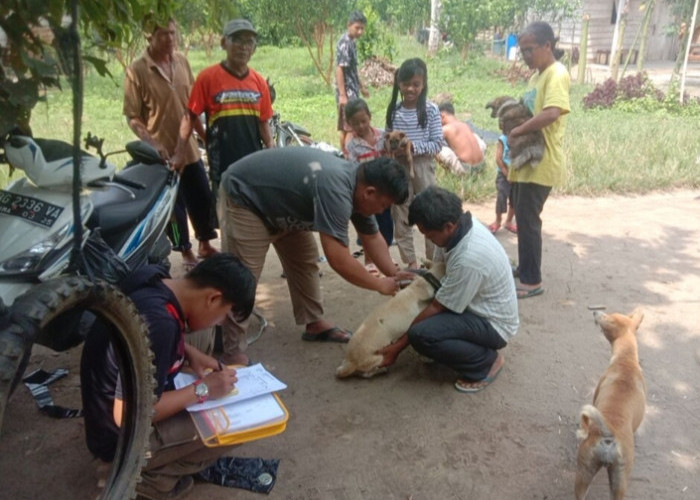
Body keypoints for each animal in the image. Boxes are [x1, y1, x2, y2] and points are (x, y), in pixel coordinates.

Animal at [576, 308, 648, 500]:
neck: (626, 359)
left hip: (587, 472)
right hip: (615, 481)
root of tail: (609, 433)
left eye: (608, 316)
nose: (595, 311)